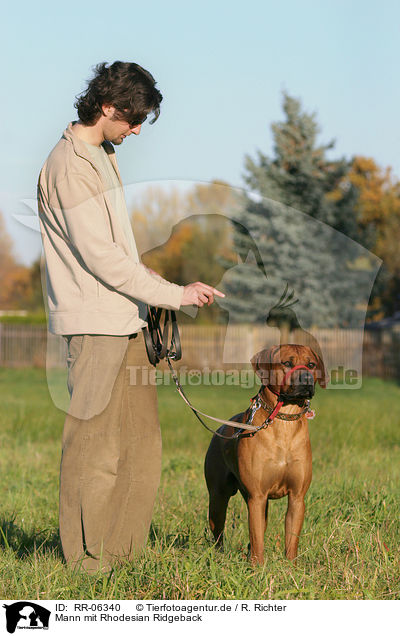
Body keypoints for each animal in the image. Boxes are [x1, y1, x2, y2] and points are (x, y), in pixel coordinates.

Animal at [205, 346, 326, 564]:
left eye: (311, 364)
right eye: (287, 363)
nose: (306, 379)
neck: (284, 420)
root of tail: (221, 428)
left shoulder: (297, 497)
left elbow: (290, 540)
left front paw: (291, 567)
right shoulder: (257, 496)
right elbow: (257, 540)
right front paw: (257, 567)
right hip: (218, 498)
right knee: (218, 533)